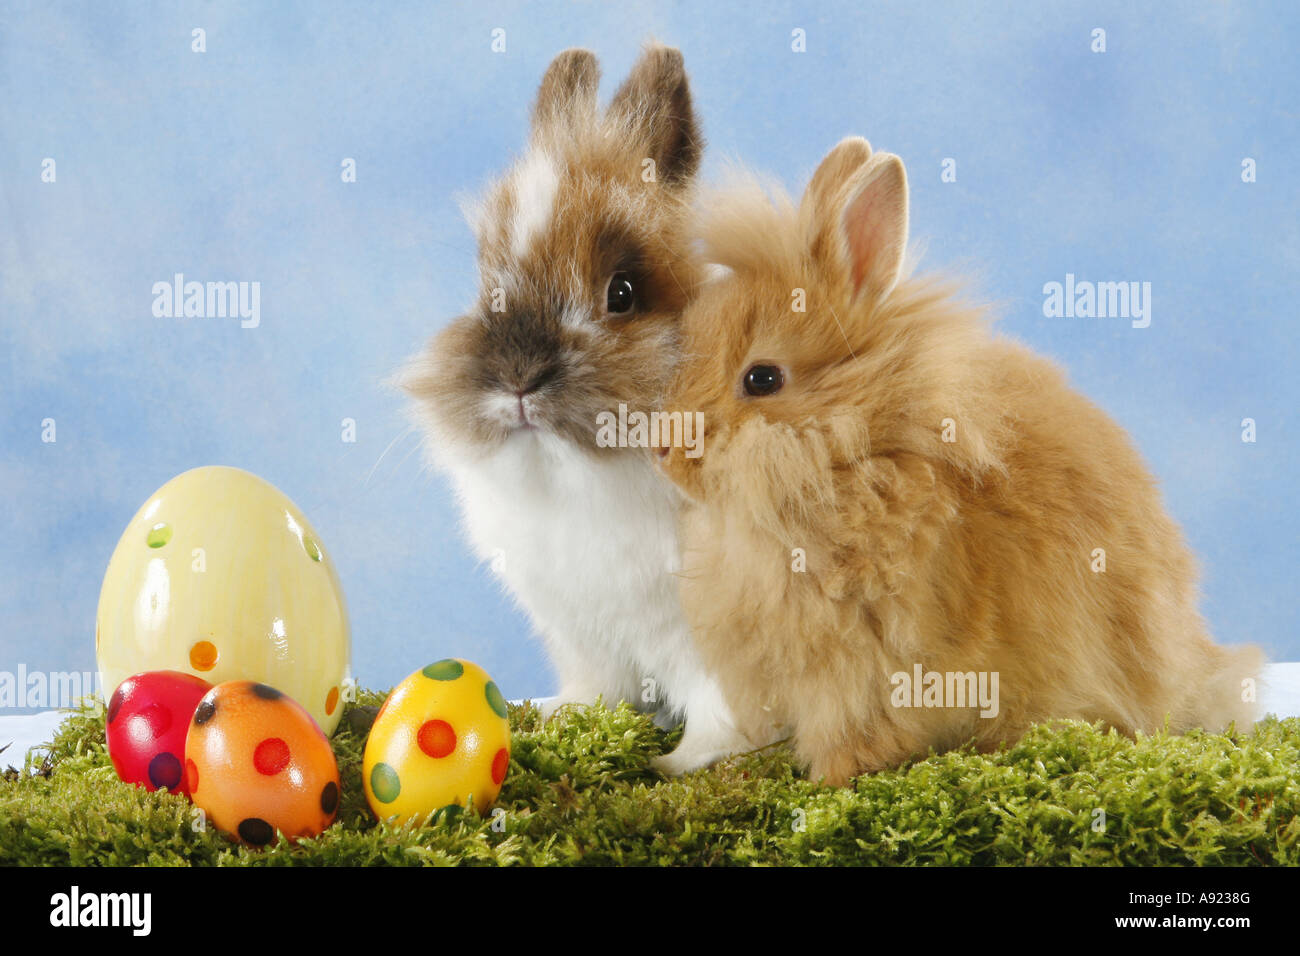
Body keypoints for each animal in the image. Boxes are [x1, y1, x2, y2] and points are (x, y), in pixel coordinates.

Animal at [397, 46, 754, 780]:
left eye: (623, 292)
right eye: (486, 284)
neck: (579, 477)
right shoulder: (583, 634)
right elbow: (600, 691)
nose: (518, 377)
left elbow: (718, 707)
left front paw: (684, 762)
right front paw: (560, 718)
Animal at [660, 138, 1258, 790]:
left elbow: (856, 735)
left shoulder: (870, 668)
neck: (863, 452)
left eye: (762, 379)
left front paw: (829, 784)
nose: (666, 454)